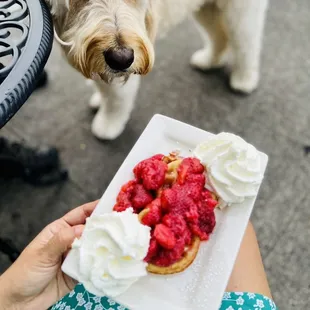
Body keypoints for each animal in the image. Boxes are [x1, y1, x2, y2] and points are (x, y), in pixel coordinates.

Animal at [46, 0, 268, 140]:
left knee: (247, 41)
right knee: (219, 36)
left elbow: (116, 100)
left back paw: (244, 79)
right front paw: (99, 100)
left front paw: (108, 124)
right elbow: (102, 86)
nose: (121, 58)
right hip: (207, 8)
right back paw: (209, 60)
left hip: (240, 11)